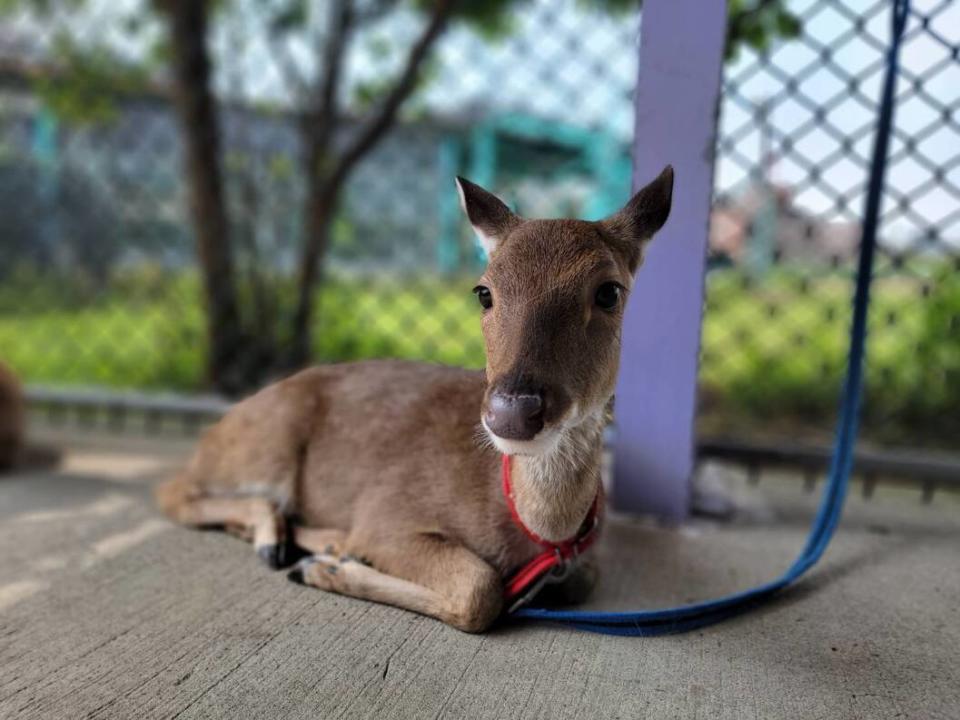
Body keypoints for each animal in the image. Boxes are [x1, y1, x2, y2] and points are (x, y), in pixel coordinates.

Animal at [154, 163, 672, 632]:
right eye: (483, 291)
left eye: (609, 292)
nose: (512, 412)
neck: (542, 535)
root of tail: (214, 432)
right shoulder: (389, 510)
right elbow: (480, 589)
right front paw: (327, 568)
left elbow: (585, 578)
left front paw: (329, 561)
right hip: (267, 441)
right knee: (174, 492)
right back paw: (286, 544)